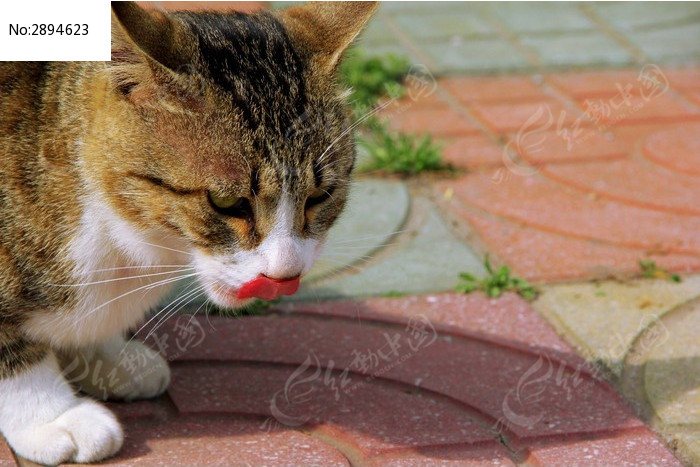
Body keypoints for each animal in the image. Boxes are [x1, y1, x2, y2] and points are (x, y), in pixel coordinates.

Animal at [0, 1, 378, 464]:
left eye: (320, 195)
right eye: (225, 202)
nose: (283, 276)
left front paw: (103, 357)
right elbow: (13, 352)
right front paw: (51, 413)